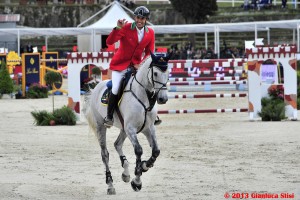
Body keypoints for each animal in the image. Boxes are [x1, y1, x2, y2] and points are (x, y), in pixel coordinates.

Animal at [82, 52, 171, 195]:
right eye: (156, 73)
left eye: (168, 72)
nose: (163, 99)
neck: (143, 96)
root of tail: (97, 87)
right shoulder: (131, 129)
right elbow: (139, 150)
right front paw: (137, 180)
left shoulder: (149, 128)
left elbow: (156, 151)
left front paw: (144, 166)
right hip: (101, 126)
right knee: (105, 154)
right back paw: (110, 184)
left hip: (123, 128)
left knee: (117, 144)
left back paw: (125, 173)